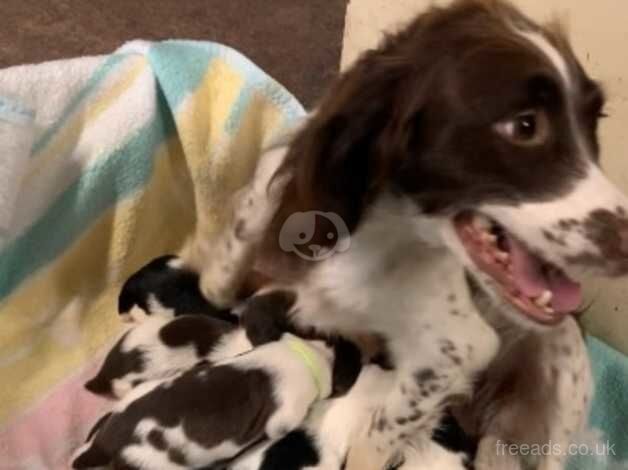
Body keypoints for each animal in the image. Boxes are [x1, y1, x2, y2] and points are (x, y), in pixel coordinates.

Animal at [184, 0, 628, 470]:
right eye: (525, 126)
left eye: (594, 122)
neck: (382, 236)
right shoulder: (275, 183)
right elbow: (219, 278)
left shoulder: (456, 349)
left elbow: (376, 438)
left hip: (562, 361)